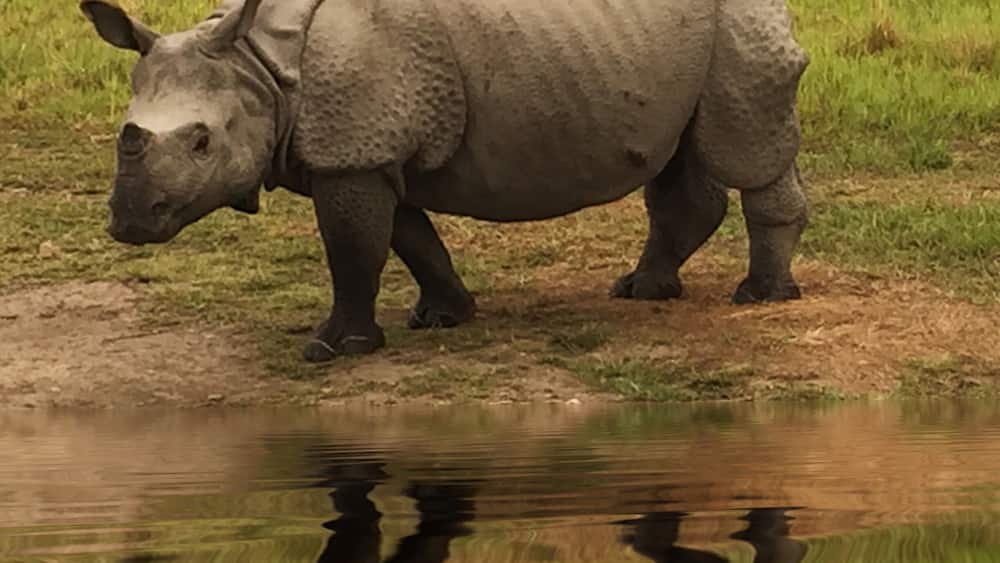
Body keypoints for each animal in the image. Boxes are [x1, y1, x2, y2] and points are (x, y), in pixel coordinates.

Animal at [81, 0, 810, 363]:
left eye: (202, 141)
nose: (127, 222)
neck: (259, 67)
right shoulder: (370, 151)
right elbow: (408, 237)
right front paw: (444, 316)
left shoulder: (354, 150)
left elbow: (353, 251)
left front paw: (333, 349)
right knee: (681, 159)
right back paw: (642, 291)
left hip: (739, 22)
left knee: (746, 147)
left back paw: (760, 297)